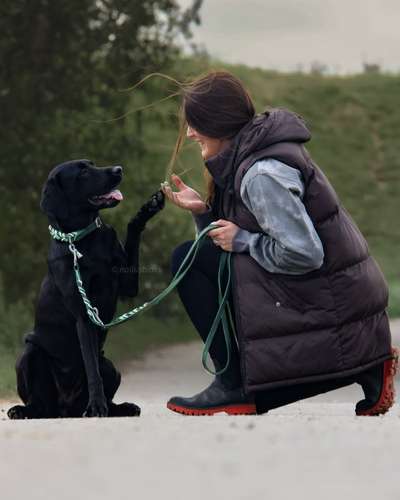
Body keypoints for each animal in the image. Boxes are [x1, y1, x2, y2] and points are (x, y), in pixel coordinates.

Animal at [6, 160, 162, 418]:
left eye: (91, 164)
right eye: (83, 172)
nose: (118, 169)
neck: (83, 239)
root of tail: (65, 408)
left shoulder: (128, 285)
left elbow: (132, 230)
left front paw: (147, 210)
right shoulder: (84, 315)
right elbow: (91, 371)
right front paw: (96, 406)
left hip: (110, 366)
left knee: (107, 394)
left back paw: (122, 407)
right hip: (29, 354)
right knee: (39, 403)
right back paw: (21, 410)